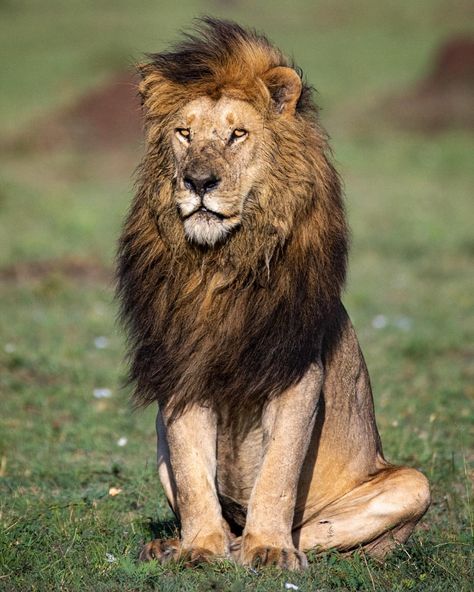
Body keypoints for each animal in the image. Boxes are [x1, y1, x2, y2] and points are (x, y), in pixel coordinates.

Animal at [116, 20, 432, 572]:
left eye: (237, 134)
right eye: (184, 133)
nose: (198, 181)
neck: (220, 269)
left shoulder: (297, 375)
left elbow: (278, 474)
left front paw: (268, 550)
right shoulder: (180, 371)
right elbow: (194, 477)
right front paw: (198, 549)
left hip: (413, 483)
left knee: (321, 531)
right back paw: (174, 544)